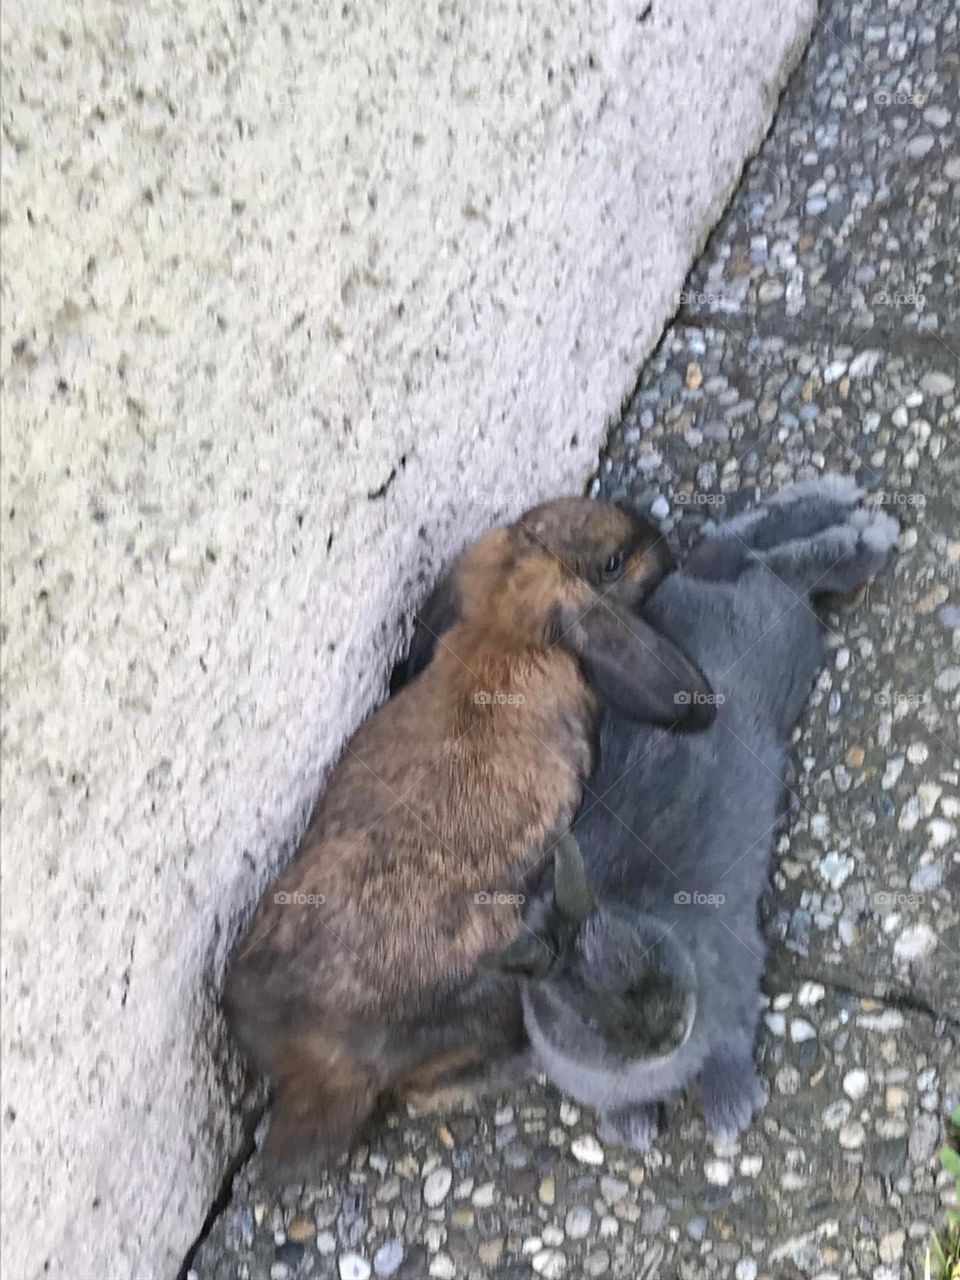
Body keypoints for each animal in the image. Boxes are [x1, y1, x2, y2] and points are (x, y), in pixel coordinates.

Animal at [477, 475, 901, 1149]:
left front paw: (731, 1109)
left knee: (781, 569)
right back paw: (835, 501)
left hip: (776, 641)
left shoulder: (736, 982)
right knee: (741, 547)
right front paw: (631, 1129)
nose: (671, 1031)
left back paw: (863, 537)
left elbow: (731, 1045)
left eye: (645, 956)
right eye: (585, 1020)